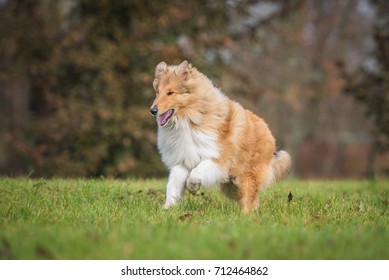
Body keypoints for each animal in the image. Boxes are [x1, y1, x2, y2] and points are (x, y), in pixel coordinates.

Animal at [150, 60, 290, 213]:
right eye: (157, 92)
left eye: (170, 92)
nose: (153, 110)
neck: (188, 120)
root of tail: (267, 130)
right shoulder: (182, 161)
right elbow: (172, 187)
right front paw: (167, 208)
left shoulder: (218, 159)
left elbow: (195, 173)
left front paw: (192, 188)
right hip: (230, 184)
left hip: (246, 175)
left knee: (249, 196)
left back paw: (245, 215)